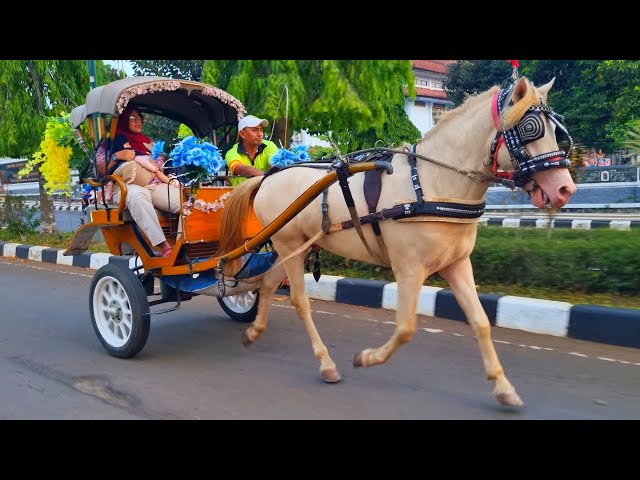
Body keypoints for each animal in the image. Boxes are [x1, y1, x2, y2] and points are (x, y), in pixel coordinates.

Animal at [218, 77, 576, 406]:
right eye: (529, 128)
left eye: (557, 131)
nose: (564, 189)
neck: (431, 183)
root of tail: (268, 178)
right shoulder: (409, 268)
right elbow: (406, 328)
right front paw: (366, 358)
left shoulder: (457, 264)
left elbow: (481, 322)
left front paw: (503, 387)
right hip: (289, 245)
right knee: (299, 301)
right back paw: (325, 362)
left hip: (296, 247)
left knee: (266, 283)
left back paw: (253, 331)